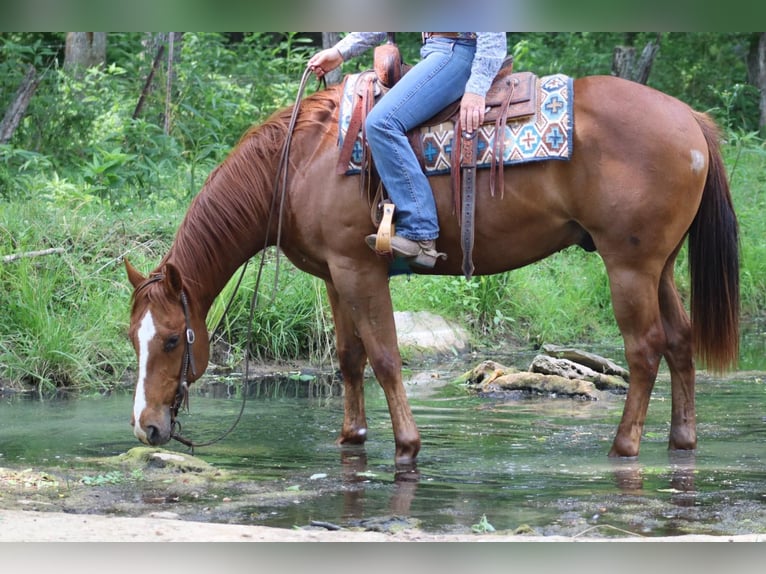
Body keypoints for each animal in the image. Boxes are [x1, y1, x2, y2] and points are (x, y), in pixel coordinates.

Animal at [127, 74, 744, 466]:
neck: (301, 162)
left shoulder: (360, 270)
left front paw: (406, 446)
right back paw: (682, 441)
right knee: (680, 340)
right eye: (134, 339)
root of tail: (689, 118)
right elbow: (348, 359)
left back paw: (623, 448)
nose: (147, 427)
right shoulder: (334, 276)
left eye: (173, 340)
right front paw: (351, 437)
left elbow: (384, 358)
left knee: (644, 349)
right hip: (659, 265)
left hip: (629, 265)